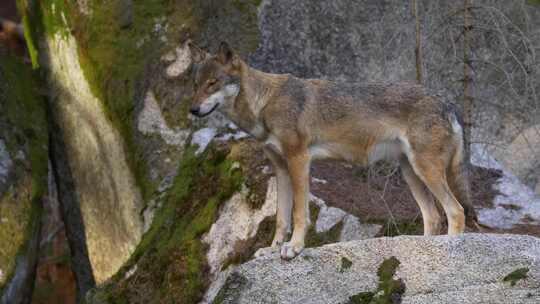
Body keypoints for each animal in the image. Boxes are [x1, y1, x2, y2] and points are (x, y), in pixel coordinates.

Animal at [189, 40, 476, 258]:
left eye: (213, 83)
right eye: (196, 85)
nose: (192, 110)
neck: (265, 103)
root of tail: (447, 102)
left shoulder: (299, 161)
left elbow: (298, 214)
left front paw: (294, 248)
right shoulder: (280, 169)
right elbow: (281, 218)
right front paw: (272, 250)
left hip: (425, 171)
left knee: (456, 211)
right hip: (411, 174)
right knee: (434, 217)